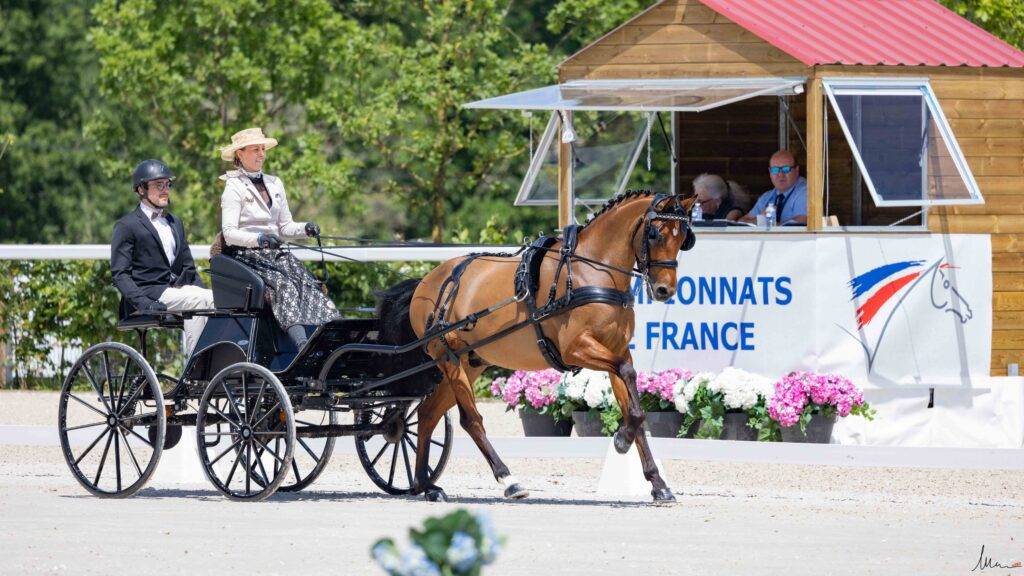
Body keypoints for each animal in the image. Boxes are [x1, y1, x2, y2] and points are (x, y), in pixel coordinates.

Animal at [377, 190, 697, 503]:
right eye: (654, 234)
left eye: (684, 238)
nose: (665, 290)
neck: (591, 270)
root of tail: (427, 281)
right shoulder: (577, 349)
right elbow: (628, 376)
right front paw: (621, 440)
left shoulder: (616, 349)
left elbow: (634, 406)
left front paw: (657, 483)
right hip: (449, 359)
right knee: (471, 420)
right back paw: (508, 480)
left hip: (468, 362)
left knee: (427, 414)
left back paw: (425, 485)